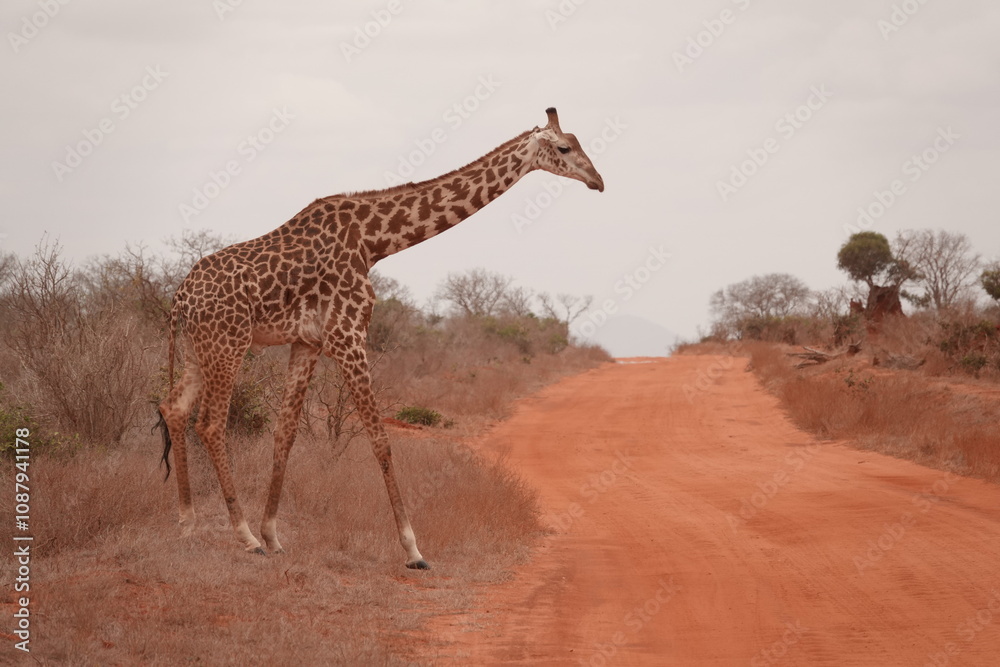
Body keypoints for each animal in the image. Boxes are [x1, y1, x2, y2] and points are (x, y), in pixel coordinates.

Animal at [157, 107, 605, 569]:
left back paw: (188, 524)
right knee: (210, 423)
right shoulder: (348, 333)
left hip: (196, 348)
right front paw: (413, 549)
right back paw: (244, 537)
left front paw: (275, 535)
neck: (375, 241)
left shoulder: (309, 342)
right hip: (227, 342)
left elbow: (285, 434)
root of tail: (179, 299)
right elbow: (380, 440)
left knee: (173, 407)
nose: (598, 180)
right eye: (564, 147)